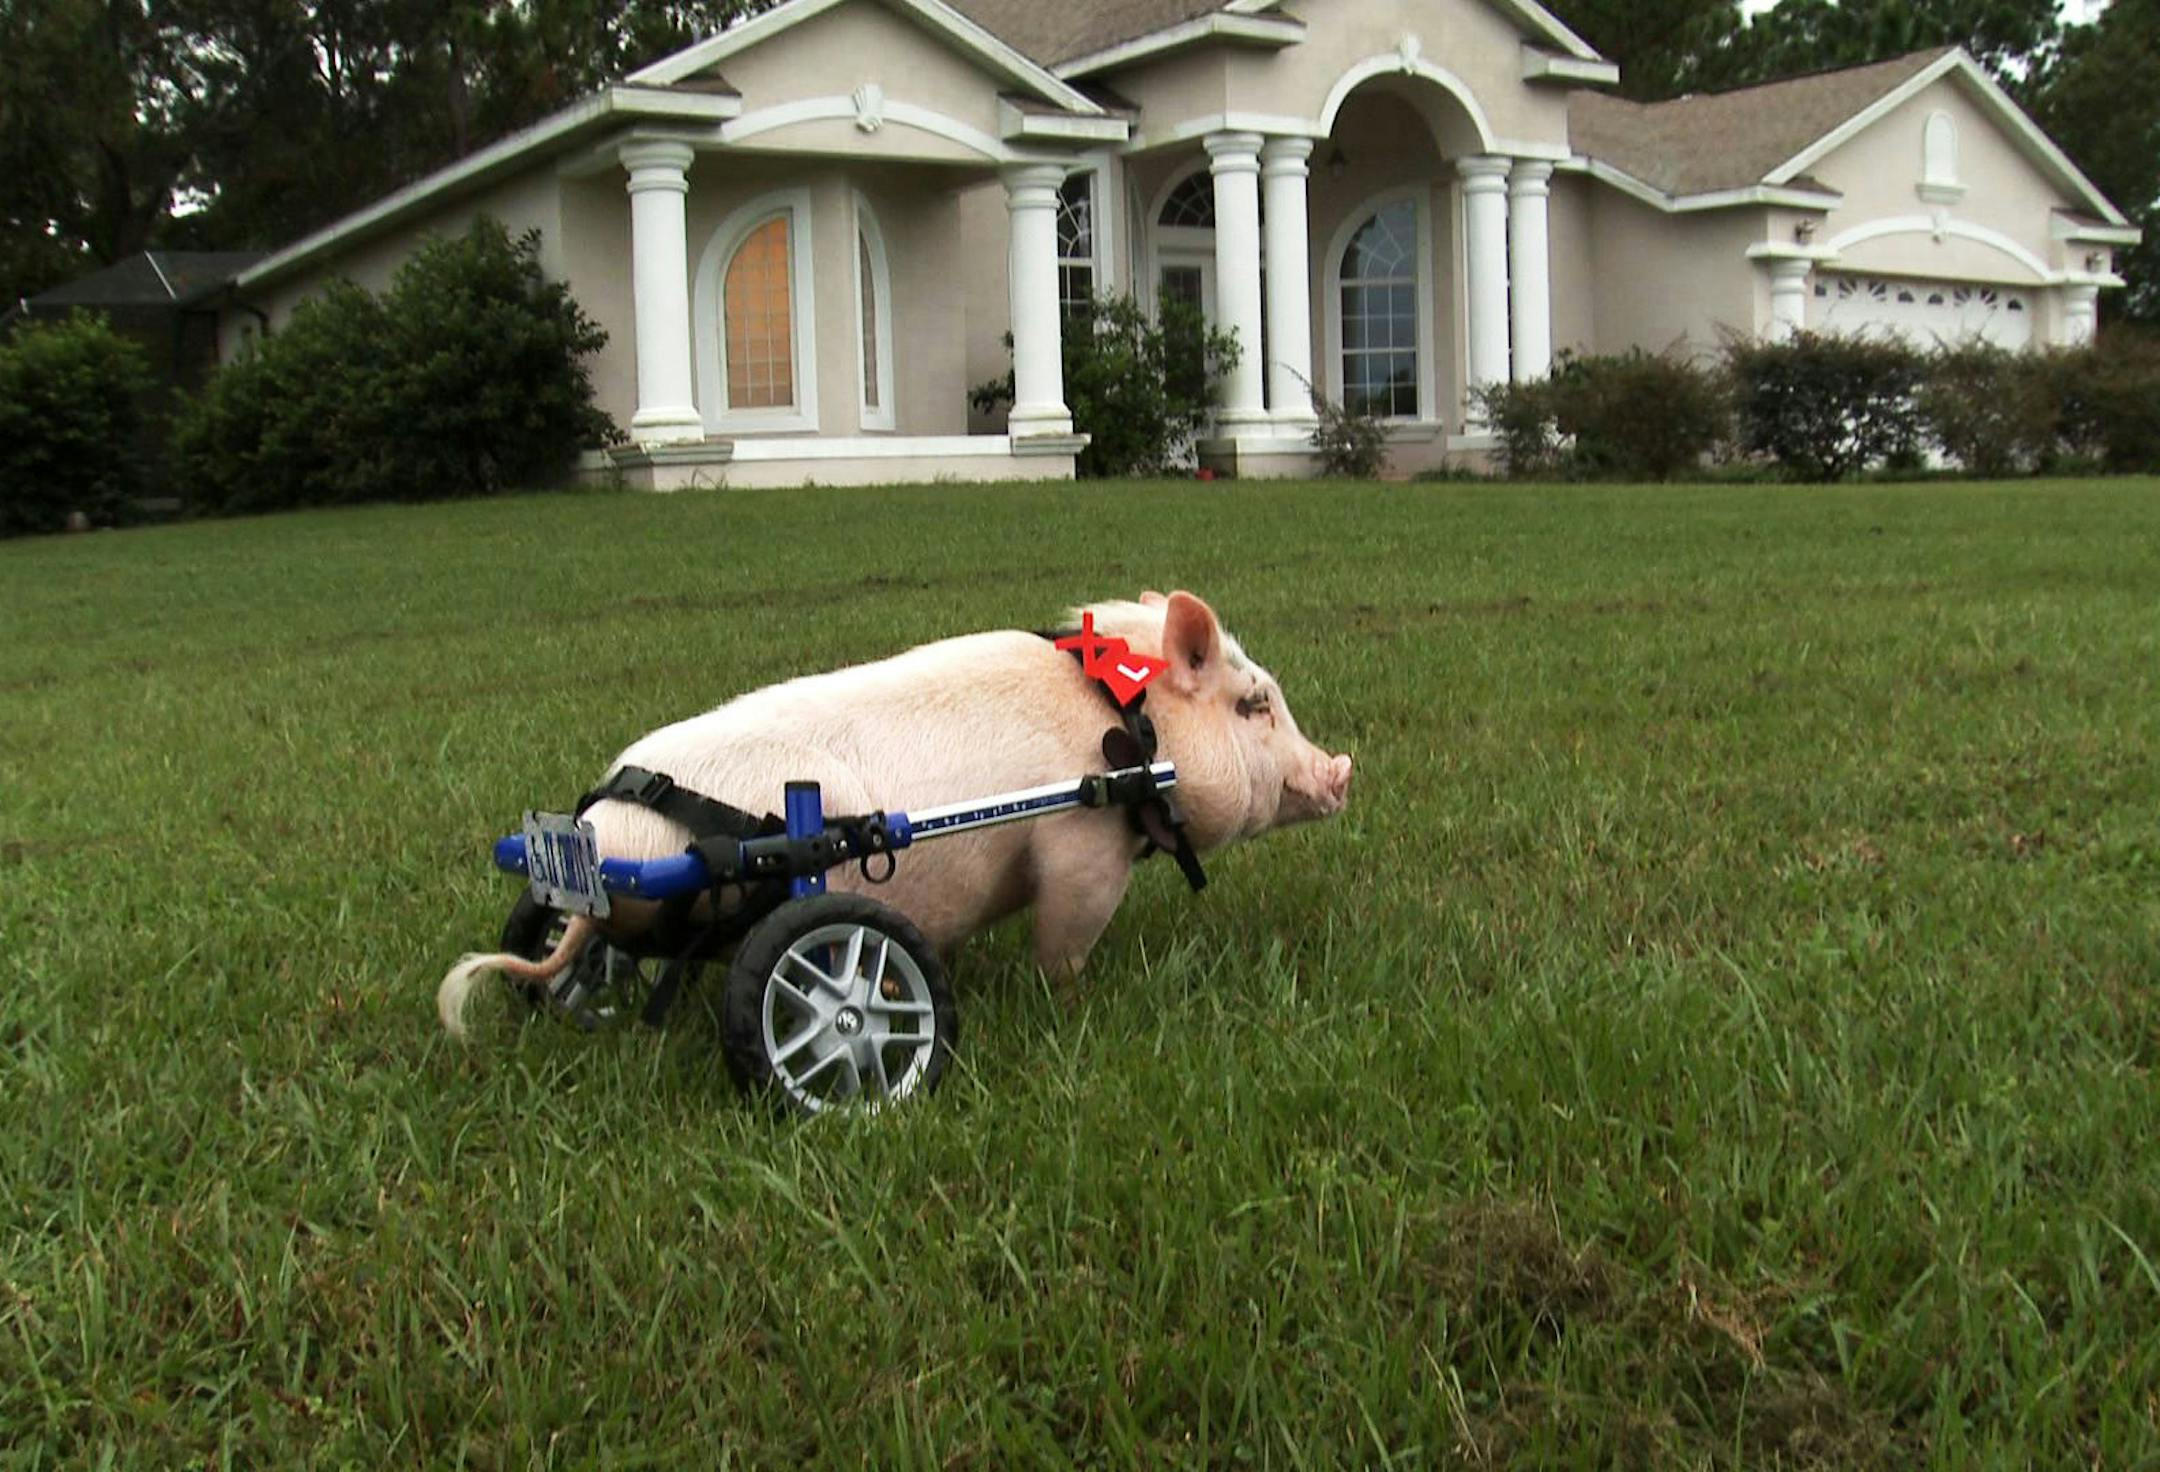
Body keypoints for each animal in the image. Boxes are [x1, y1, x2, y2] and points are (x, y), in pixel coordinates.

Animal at [438, 590, 1352, 1036]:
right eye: (1255, 704)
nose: (1343, 771)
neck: (1129, 730)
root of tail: (599, 849)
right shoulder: (1080, 844)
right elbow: (1064, 944)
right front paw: (1074, 1005)